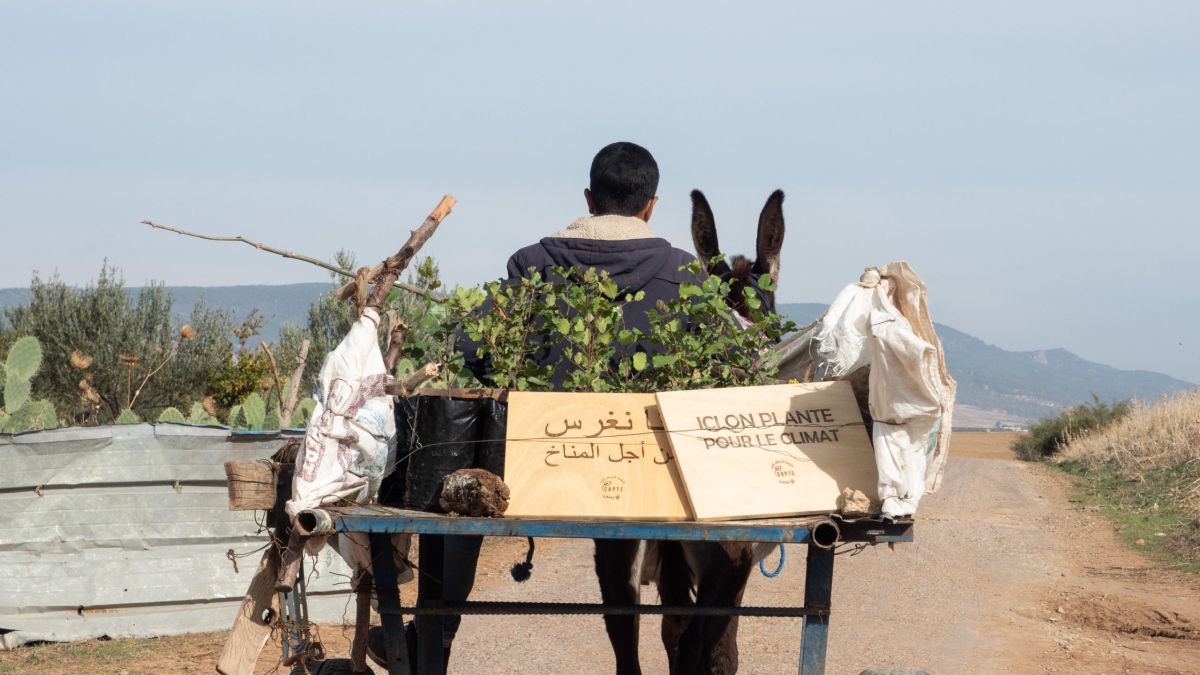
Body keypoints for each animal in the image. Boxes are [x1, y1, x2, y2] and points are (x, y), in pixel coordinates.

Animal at [594, 188, 786, 675]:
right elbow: (713, 650)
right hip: (724, 561)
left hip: (616, 551)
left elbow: (671, 631)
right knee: (705, 649)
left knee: (629, 647)